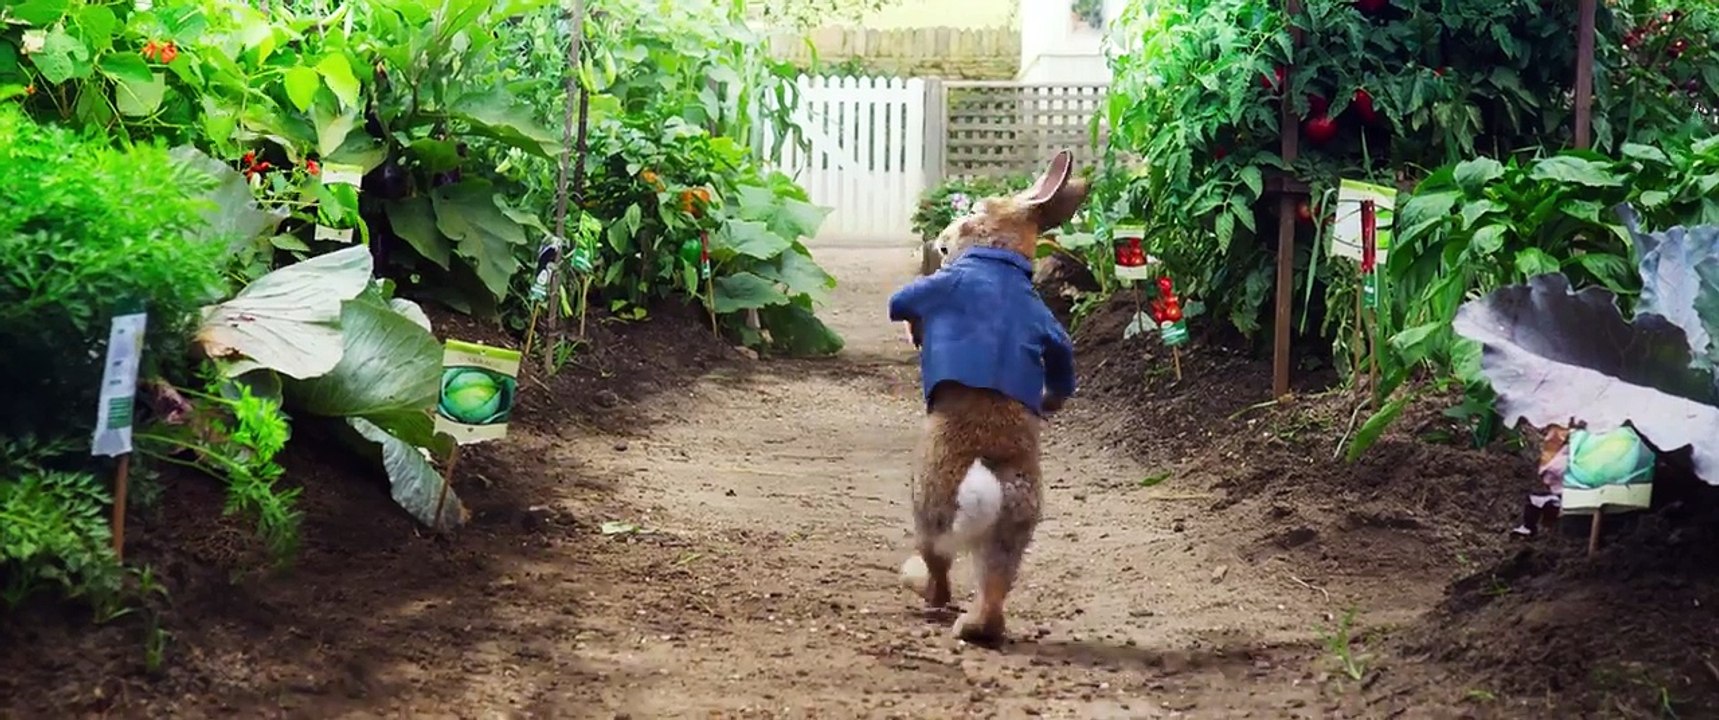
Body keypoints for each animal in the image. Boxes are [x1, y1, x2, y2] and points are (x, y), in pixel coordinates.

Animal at [886, 150, 1086, 645]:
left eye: (974, 211)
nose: (944, 237)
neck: (999, 255)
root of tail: (986, 487)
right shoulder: (1052, 334)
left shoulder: (929, 293)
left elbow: (906, 306)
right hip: (1012, 532)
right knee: (993, 591)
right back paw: (975, 628)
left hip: (928, 511)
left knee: (939, 577)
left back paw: (919, 586)